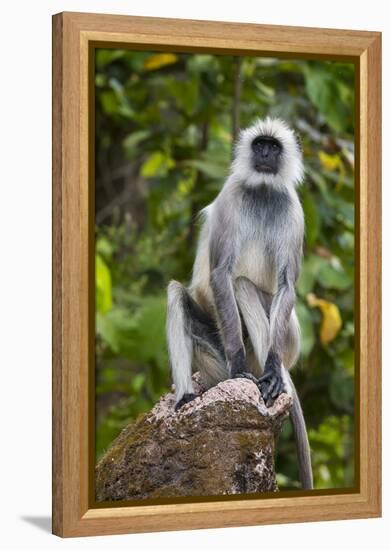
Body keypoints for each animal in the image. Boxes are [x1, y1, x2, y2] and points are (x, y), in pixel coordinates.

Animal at [167, 117, 314, 492]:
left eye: (273, 147)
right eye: (259, 145)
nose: (263, 154)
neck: (262, 191)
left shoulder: (293, 208)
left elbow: (285, 283)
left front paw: (272, 370)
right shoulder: (233, 194)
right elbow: (220, 273)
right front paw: (236, 365)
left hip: (291, 338)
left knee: (245, 287)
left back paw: (273, 380)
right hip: (215, 357)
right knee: (179, 293)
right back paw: (187, 397)